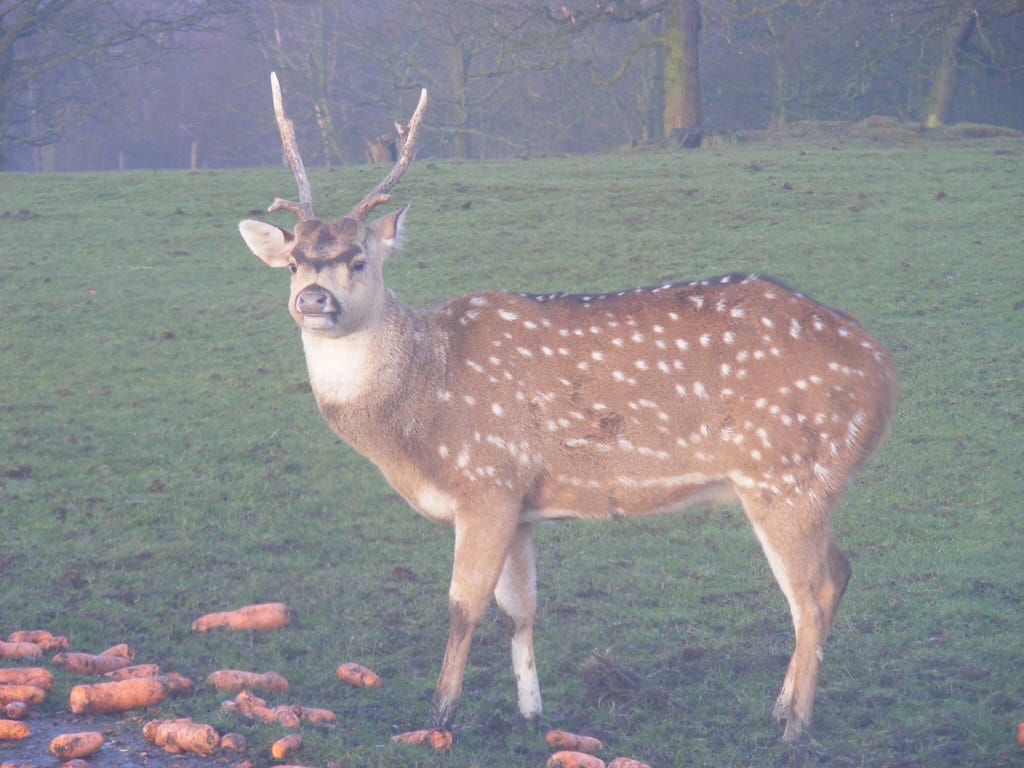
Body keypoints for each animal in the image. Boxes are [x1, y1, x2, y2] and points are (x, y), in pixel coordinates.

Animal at [238, 73, 898, 743]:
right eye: (292, 262)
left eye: (359, 259)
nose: (312, 299)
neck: (421, 413)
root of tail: (883, 370)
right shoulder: (520, 503)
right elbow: (519, 611)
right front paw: (531, 712)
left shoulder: (487, 479)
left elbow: (463, 606)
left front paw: (438, 717)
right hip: (801, 483)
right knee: (839, 573)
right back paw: (781, 708)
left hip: (787, 472)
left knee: (812, 593)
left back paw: (794, 729)